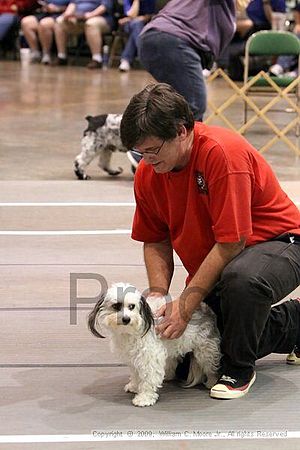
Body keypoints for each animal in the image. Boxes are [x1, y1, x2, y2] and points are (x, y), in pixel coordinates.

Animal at [88, 284, 219, 406]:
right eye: (115, 306)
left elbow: (148, 379)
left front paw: (144, 398)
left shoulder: (149, 356)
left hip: (205, 351)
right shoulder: (134, 358)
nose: (126, 319)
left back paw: (212, 383)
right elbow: (135, 374)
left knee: (211, 368)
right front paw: (134, 386)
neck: (130, 332)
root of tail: (207, 309)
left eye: (131, 306)